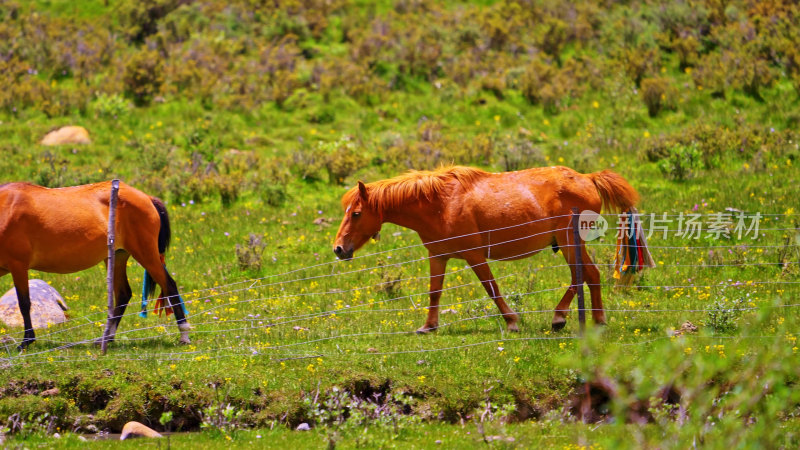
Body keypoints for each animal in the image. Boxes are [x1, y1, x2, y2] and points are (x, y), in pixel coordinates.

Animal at [0, 181, 191, 350]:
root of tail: (148, 198)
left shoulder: (18, 265)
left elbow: (24, 303)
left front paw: (26, 341)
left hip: (145, 254)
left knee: (169, 285)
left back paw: (184, 335)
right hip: (117, 256)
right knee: (123, 294)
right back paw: (106, 339)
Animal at [332, 166, 644, 334]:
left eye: (356, 213)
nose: (338, 249)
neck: (440, 203)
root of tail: (588, 178)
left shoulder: (474, 256)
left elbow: (491, 288)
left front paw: (512, 321)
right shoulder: (438, 256)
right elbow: (434, 292)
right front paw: (428, 326)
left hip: (569, 242)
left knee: (585, 275)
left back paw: (567, 317)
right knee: (587, 276)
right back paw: (587, 319)